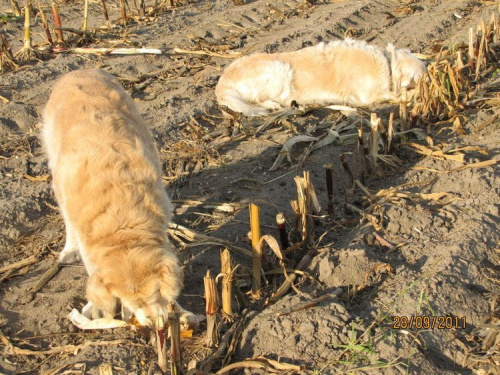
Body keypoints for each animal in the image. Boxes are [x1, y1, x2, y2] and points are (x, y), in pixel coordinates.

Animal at [41, 69, 182, 328]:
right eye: (132, 302)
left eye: (155, 294)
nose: (152, 324)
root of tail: (78, 70)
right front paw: (94, 307)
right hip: (54, 167)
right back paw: (68, 250)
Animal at [215, 38, 426, 116]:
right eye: (422, 78)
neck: (387, 64)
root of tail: (222, 80)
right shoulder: (368, 96)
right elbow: (398, 95)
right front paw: (413, 96)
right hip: (279, 68)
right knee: (259, 99)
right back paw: (275, 105)